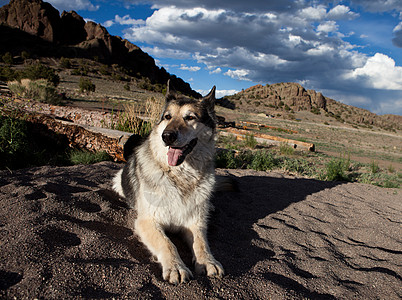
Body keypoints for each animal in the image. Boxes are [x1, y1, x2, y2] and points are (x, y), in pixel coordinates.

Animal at [113, 81, 225, 284]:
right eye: (167, 117)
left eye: (190, 117)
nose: (167, 136)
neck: (180, 177)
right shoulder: (147, 221)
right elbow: (167, 243)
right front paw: (176, 266)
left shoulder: (195, 223)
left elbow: (201, 243)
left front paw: (208, 261)